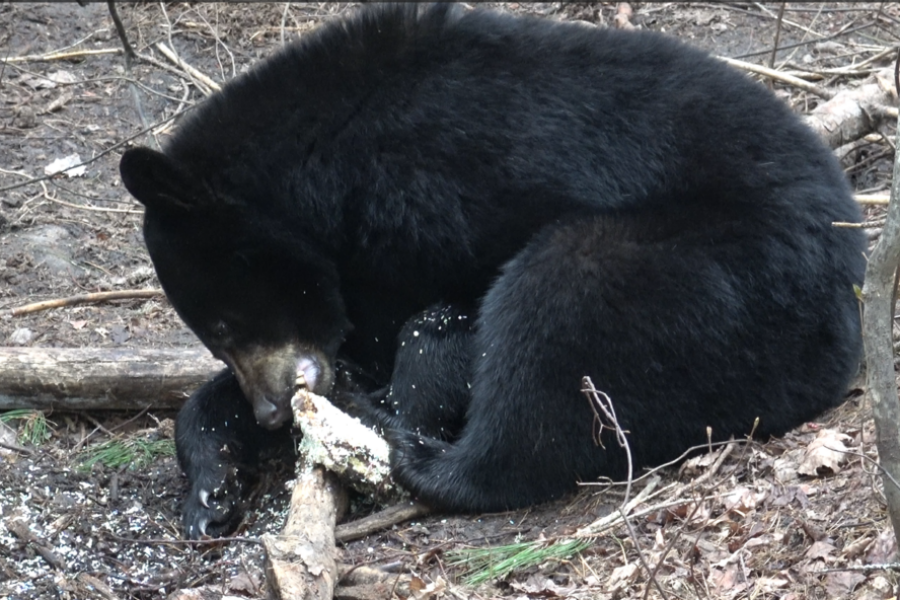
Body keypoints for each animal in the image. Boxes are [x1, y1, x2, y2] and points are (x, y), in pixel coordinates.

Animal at [119, 3, 865, 539]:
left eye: (223, 322)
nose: (272, 412)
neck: (327, 177)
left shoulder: (423, 205)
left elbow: (419, 332)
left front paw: (380, 400)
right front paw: (211, 488)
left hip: (721, 273)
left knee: (555, 318)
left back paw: (417, 452)